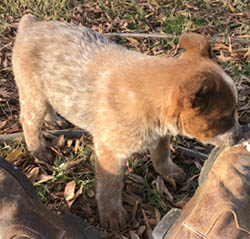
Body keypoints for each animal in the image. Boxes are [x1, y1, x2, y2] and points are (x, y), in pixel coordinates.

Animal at [12, 14, 242, 230]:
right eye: (224, 117)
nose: (241, 135)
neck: (150, 104)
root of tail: (31, 24)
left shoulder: (161, 135)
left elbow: (161, 154)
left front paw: (169, 171)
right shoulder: (109, 151)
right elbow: (110, 186)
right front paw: (112, 214)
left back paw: (54, 120)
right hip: (33, 94)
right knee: (29, 121)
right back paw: (38, 150)